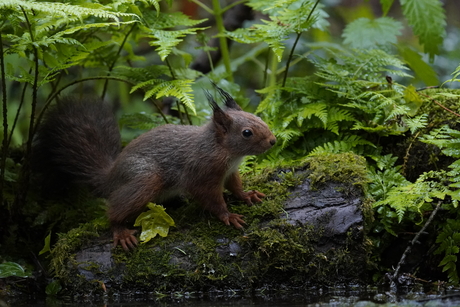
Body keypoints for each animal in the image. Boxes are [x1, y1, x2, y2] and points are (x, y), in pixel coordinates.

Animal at [34, 86, 276, 250]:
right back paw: (120, 230)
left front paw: (247, 195)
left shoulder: (230, 171)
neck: (223, 150)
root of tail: (110, 177)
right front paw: (228, 215)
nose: (273, 141)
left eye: (257, 117)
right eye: (247, 133)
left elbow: (235, 186)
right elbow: (210, 198)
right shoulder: (201, 172)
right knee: (114, 210)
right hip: (146, 179)